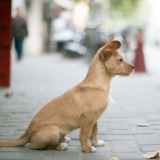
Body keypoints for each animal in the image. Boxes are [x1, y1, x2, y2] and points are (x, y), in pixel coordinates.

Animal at [0, 34, 134, 152]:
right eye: (120, 60)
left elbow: (94, 132)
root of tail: (26, 134)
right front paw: (87, 148)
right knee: (36, 146)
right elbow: (85, 134)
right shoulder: (89, 117)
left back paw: (64, 140)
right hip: (53, 131)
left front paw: (96, 142)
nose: (133, 67)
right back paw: (61, 146)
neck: (97, 84)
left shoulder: (95, 118)